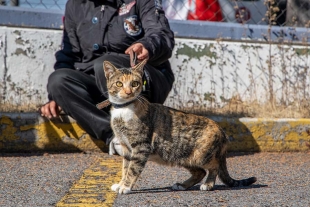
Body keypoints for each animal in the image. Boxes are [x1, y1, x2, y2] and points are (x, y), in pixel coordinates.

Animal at [102, 59, 256, 194]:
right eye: (119, 83)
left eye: (134, 83)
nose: (128, 92)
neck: (123, 109)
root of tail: (221, 130)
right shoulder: (126, 148)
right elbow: (125, 168)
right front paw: (121, 183)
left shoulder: (141, 147)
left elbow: (133, 170)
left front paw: (126, 187)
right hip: (183, 156)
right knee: (200, 172)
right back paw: (182, 185)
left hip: (201, 155)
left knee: (214, 167)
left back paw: (208, 184)